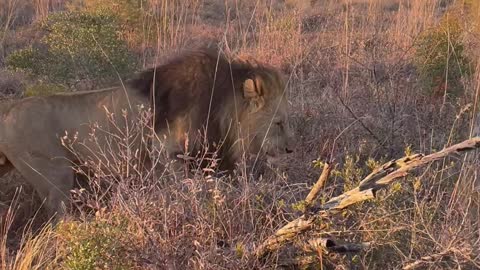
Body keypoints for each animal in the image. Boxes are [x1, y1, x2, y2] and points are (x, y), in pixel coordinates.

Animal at [0, 49, 294, 221]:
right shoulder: (166, 151)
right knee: (59, 217)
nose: (291, 150)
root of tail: (8, 111)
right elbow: (185, 190)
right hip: (55, 176)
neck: (223, 109)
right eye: (279, 123)